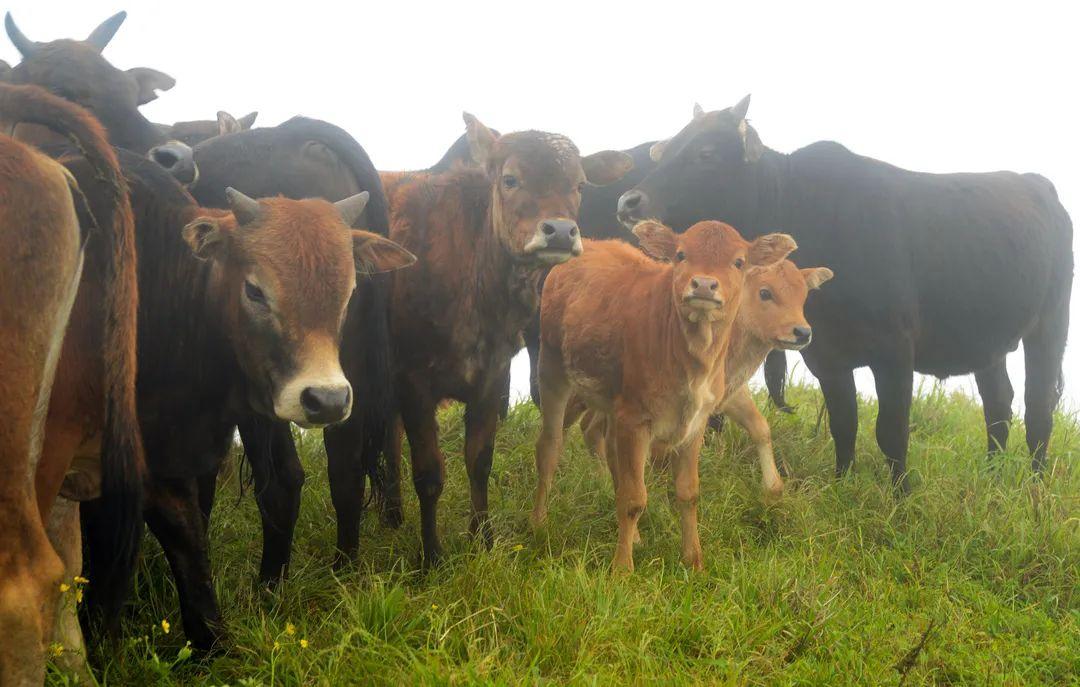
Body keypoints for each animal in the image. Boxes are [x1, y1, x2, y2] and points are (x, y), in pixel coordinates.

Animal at [362, 113, 630, 561]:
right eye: (510, 179)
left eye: (578, 185)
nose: (560, 231)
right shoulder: (413, 380)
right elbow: (430, 473)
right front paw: (432, 555)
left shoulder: (492, 376)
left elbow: (479, 461)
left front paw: (483, 540)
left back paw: (393, 514)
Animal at [531, 218, 794, 570]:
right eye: (681, 255)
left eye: (739, 262)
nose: (704, 284)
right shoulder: (635, 419)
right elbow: (633, 498)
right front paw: (622, 569)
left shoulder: (695, 424)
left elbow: (688, 493)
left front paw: (693, 561)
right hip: (553, 367)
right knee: (550, 446)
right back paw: (538, 521)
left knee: (608, 451)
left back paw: (636, 537)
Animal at [617, 95, 1071, 488]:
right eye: (666, 149)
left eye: (706, 153)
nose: (628, 202)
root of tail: (1040, 186)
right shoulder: (826, 354)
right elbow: (844, 422)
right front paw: (842, 483)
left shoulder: (895, 350)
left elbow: (890, 430)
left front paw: (900, 495)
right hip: (986, 342)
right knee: (999, 404)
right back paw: (993, 477)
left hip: (1051, 327)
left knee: (1037, 409)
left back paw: (1033, 486)